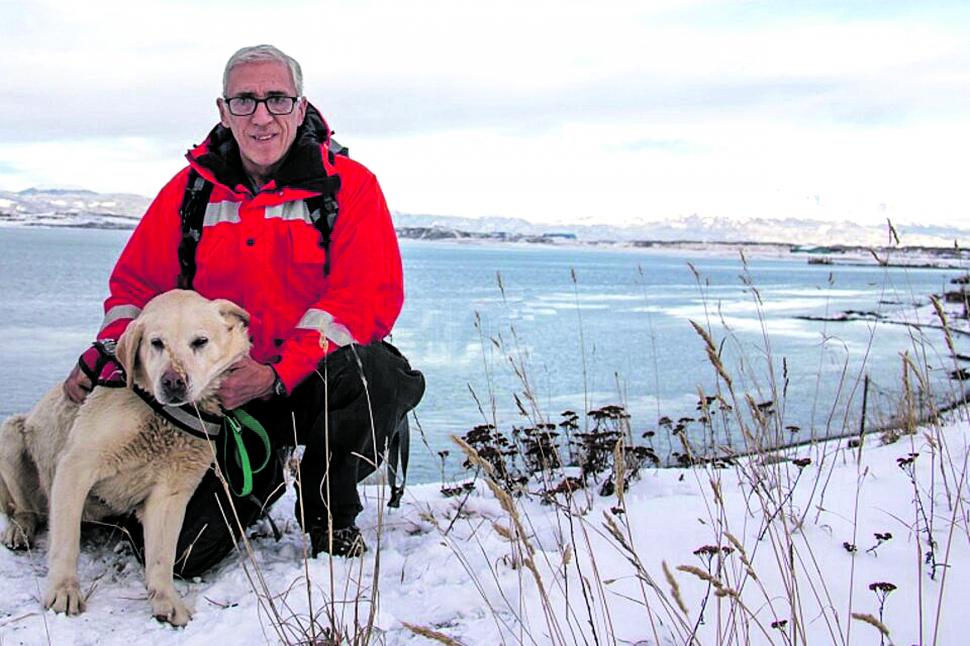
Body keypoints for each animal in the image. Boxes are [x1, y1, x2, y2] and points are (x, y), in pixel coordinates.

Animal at [0, 292, 250, 628]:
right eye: (156, 343)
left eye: (200, 341)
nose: (173, 382)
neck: (160, 416)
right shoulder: (75, 467)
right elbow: (65, 543)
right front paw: (64, 591)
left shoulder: (171, 493)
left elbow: (162, 556)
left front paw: (166, 601)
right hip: (11, 435)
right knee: (23, 508)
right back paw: (20, 528)